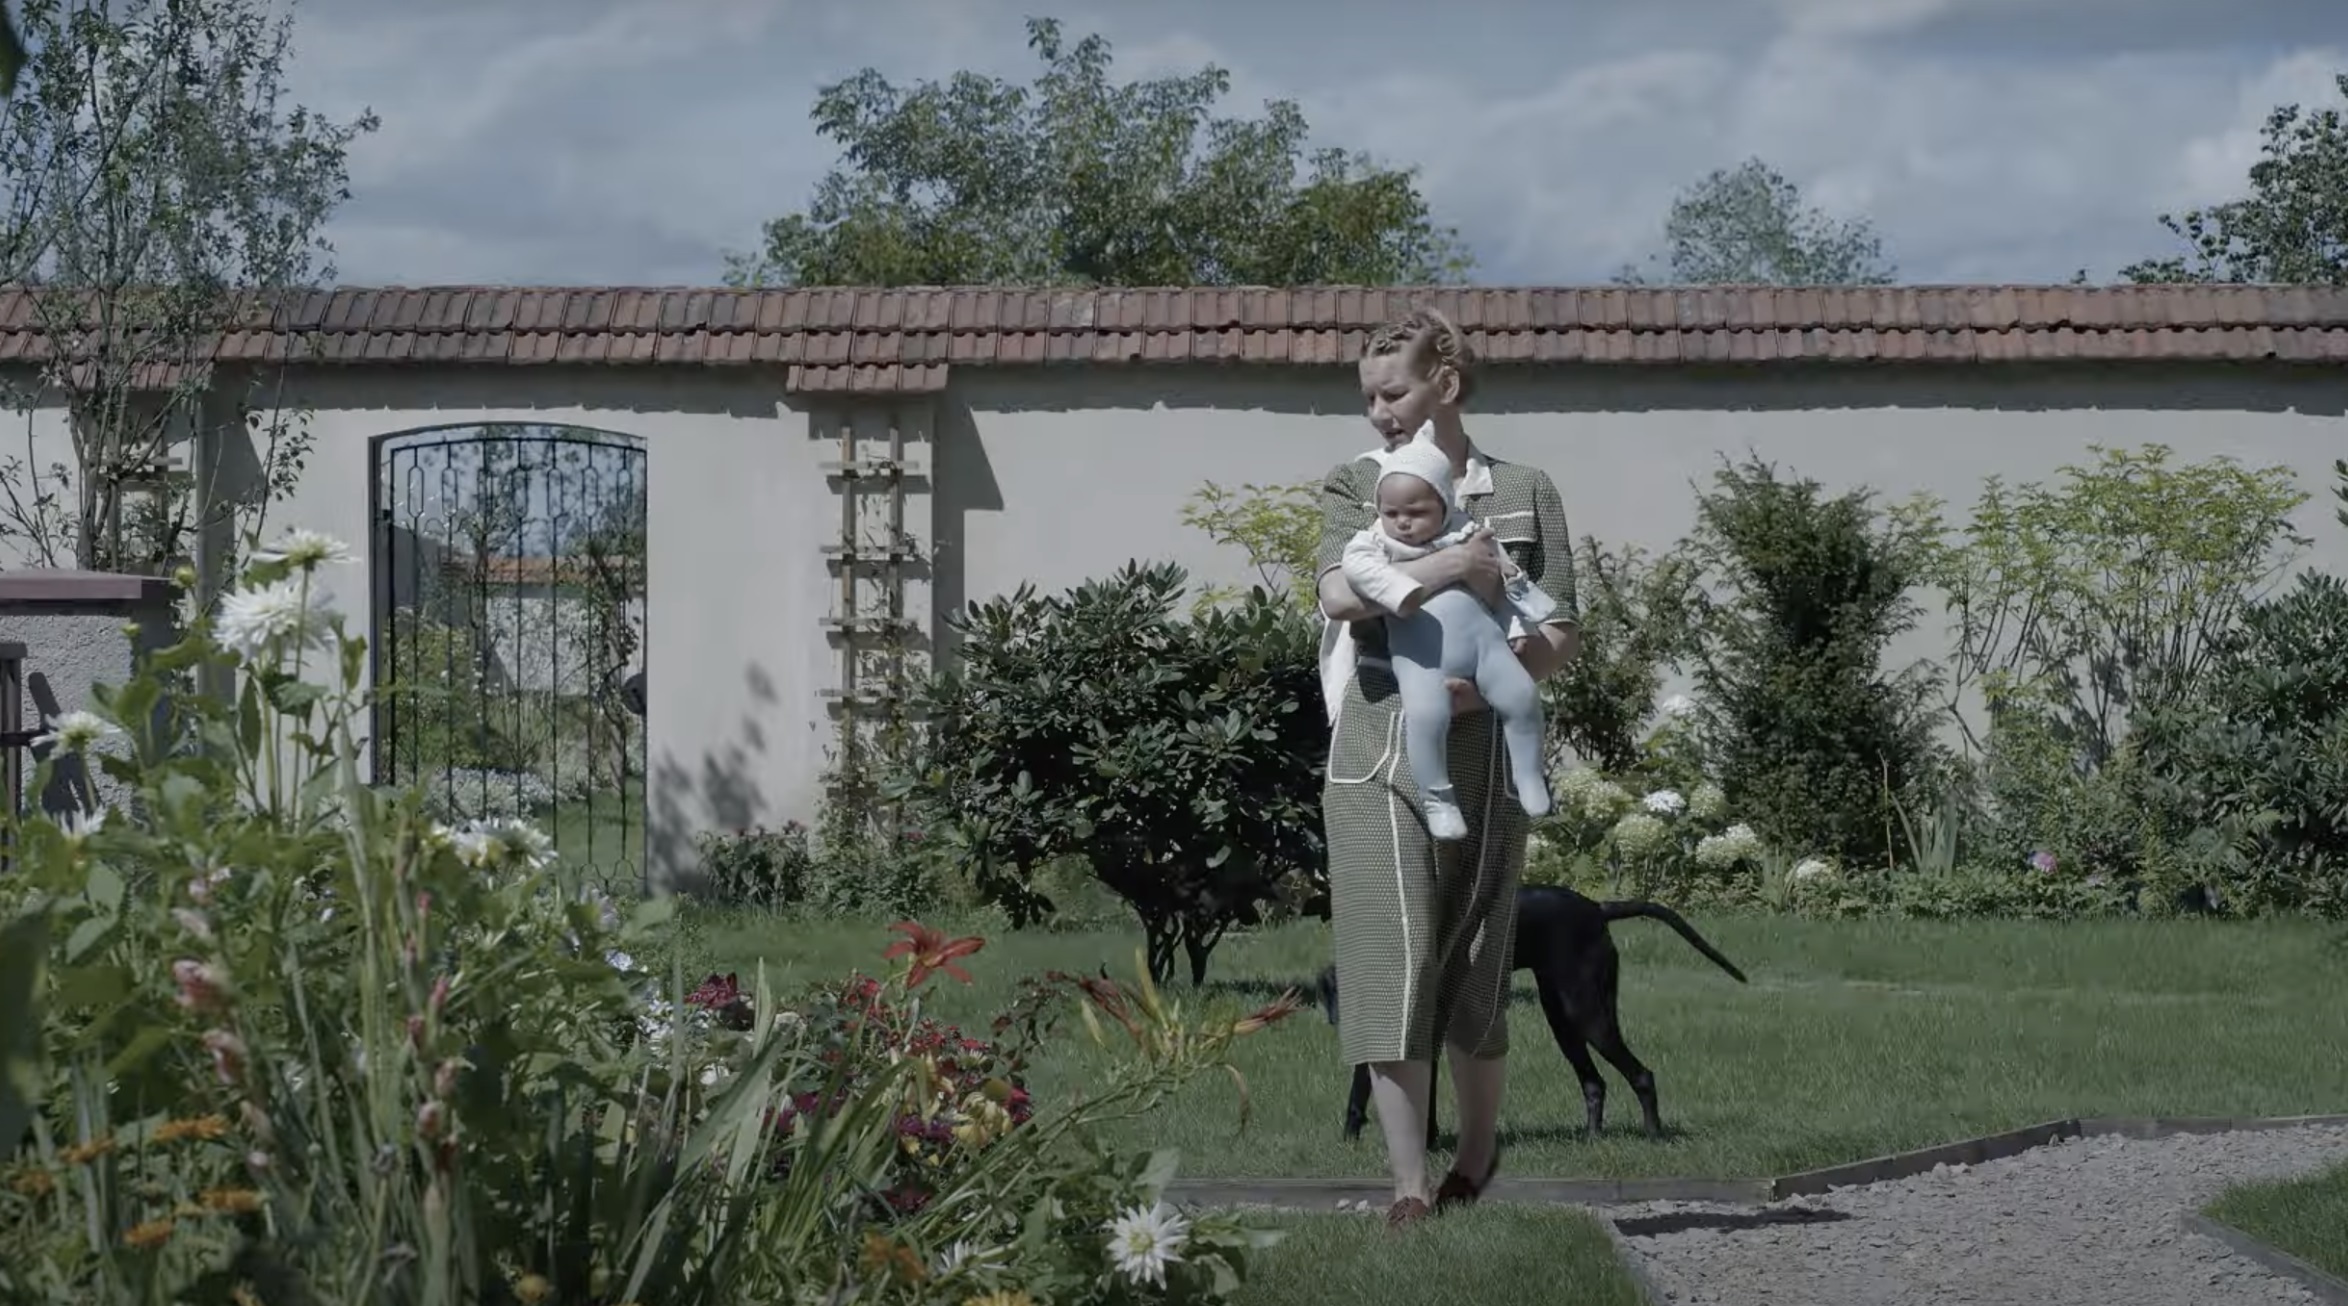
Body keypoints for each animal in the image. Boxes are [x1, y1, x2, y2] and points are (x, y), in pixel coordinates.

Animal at [1324, 887, 1746, 1141]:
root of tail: (1596, 907)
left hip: (1584, 1013)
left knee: (1641, 1075)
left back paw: (1654, 1136)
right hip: (1563, 1018)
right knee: (1595, 1083)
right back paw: (1592, 1138)